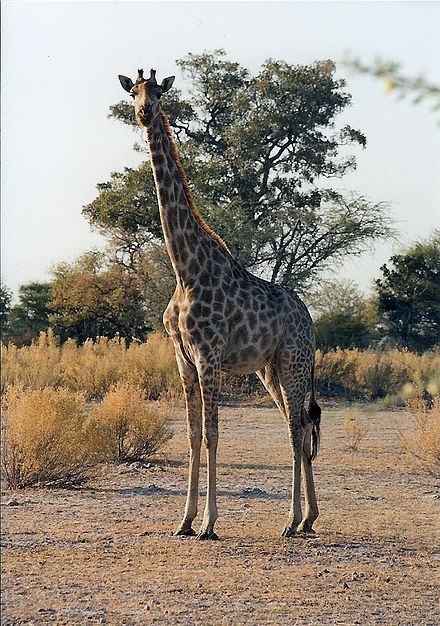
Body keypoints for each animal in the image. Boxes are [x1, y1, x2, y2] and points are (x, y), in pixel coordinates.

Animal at [118, 67, 322, 536]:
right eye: (132, 91)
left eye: (158, 92)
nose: (143, 113)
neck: (185, 268)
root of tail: (310, 319)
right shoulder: (182, 358)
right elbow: (193, 435)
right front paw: (184, 521)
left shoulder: (208, 355)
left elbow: (213, 434)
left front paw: (209, 523)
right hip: (269, 369)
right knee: (299, 424)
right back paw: (307, 519)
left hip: (293, 361)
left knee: (297, 427)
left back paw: (291, 521)